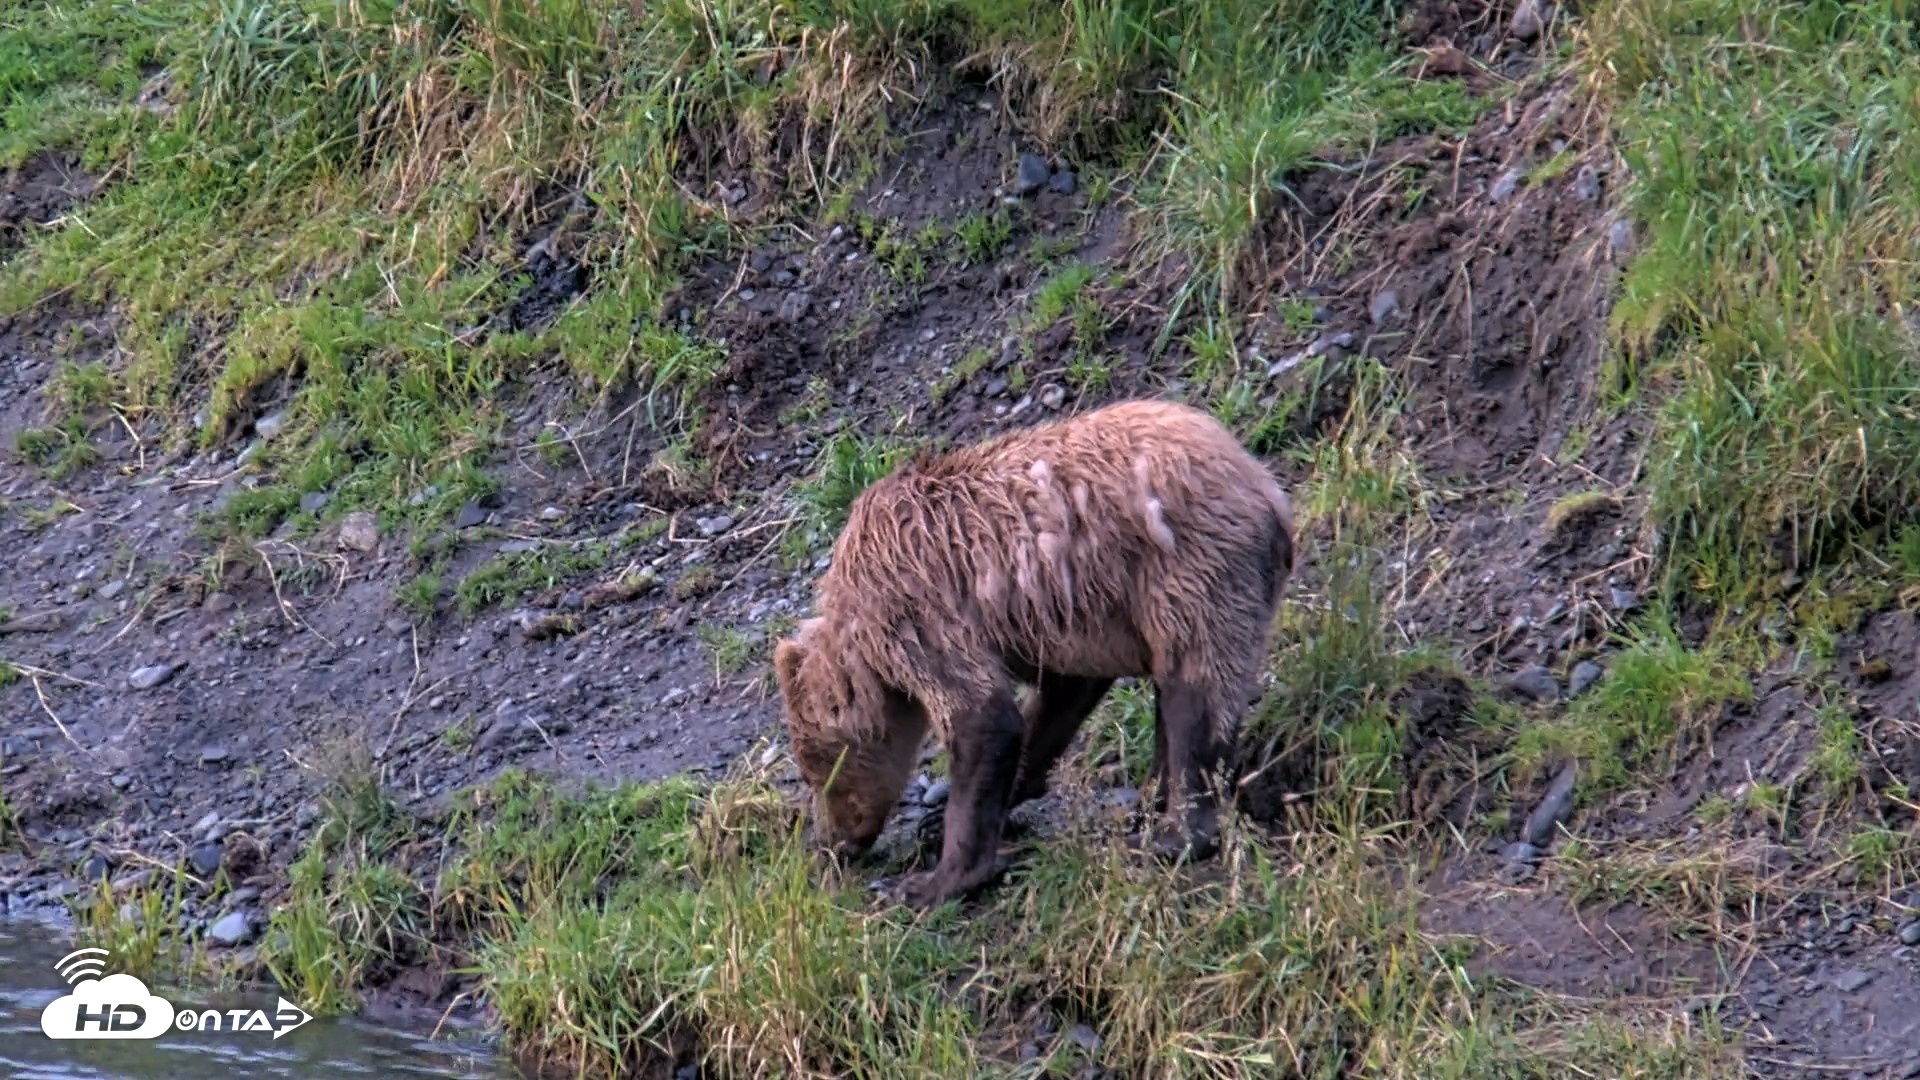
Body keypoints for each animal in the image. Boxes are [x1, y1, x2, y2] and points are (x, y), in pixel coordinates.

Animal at [771, 398, 1298, 909]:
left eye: (816, 771)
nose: (828, 843)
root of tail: (1268, 490)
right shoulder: (1068, 622)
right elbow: (1058, 701)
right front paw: (947, 818)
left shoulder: (915, 608)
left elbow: (983, 718)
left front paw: (930, 880)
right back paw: (1144, 805)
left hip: (1190, 572)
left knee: (1196, 697)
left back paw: (1169, 836)